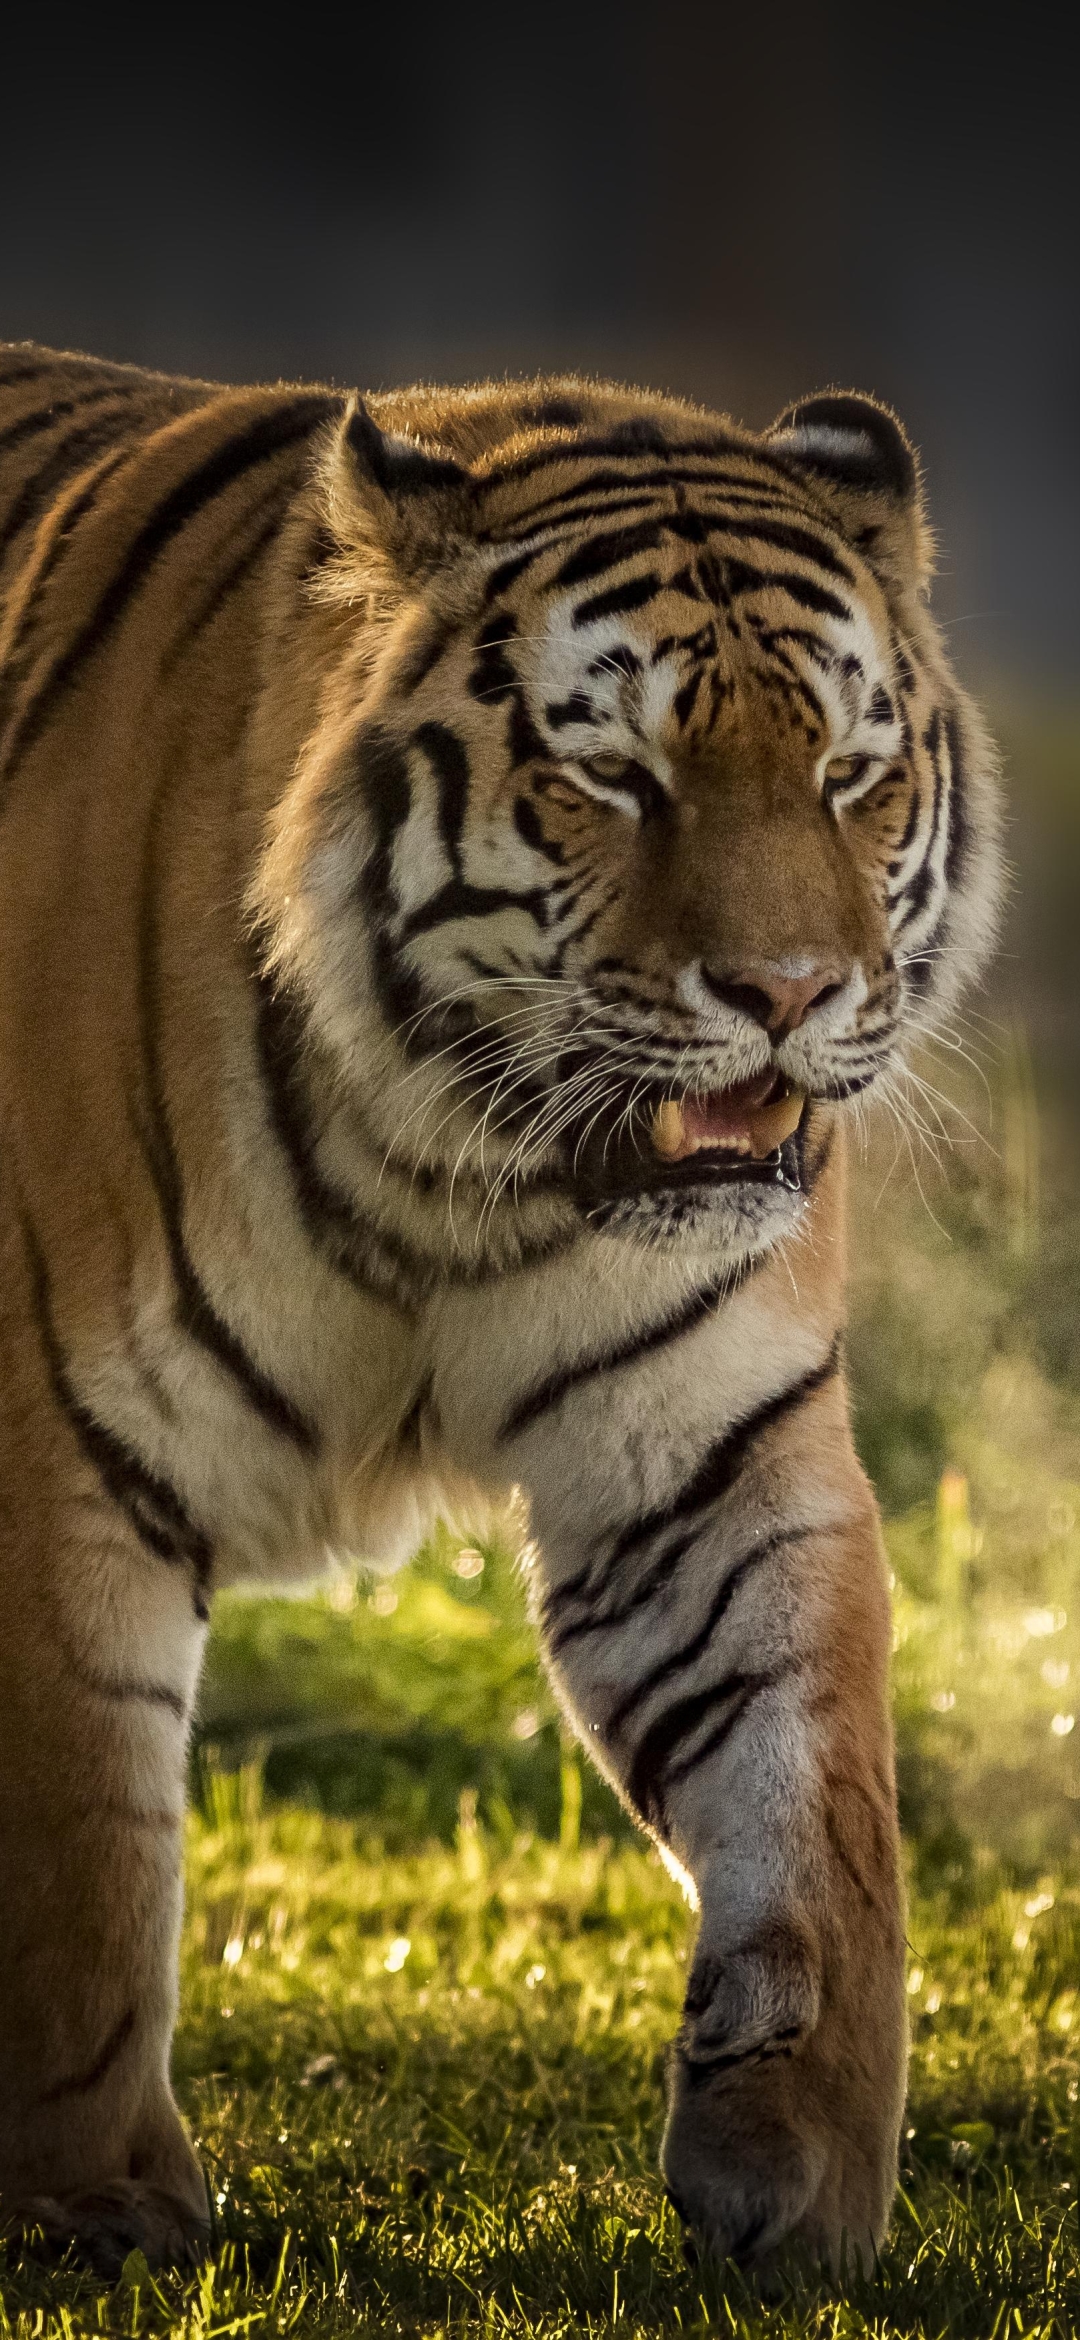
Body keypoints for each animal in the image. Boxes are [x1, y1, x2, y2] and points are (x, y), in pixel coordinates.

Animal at [0, 346, 1005, 2283]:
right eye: (615, 775)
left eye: (848, 774)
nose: (789, 992)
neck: (456, 1171)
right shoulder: (55, 1454)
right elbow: (82, 1858)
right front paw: (94, 2210)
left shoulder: (710, 1455)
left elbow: (815, 1803)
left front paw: (802, 2184)